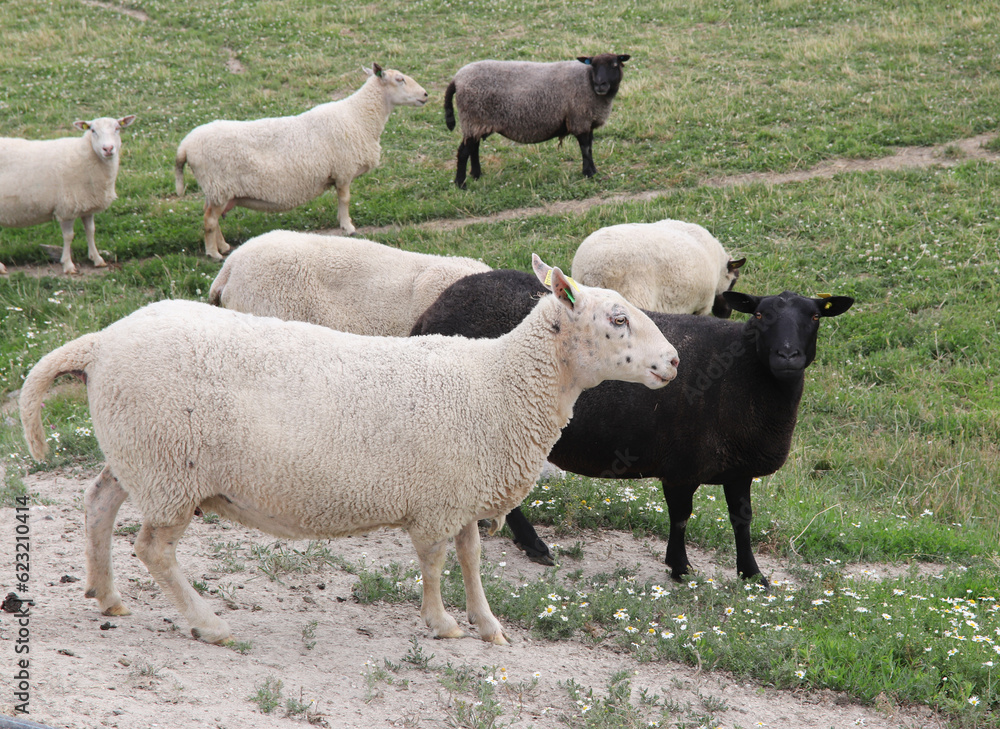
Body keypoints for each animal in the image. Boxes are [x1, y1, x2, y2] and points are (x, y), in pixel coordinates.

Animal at [0, 115, 136, 274]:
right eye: (93, 130)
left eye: (117, 128)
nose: (108, 149)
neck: (87, 155)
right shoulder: (67, 207)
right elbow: (69, 236)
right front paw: (68, 265)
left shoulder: (87, 205)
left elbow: (91, 231)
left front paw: (97, 259)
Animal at [20, 256, 679, 645]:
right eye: (618, 319)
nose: (673, 361)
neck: (498, 383)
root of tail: (102, 342)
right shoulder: (438, 501)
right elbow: (435, 563)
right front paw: (442, 623)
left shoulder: (462, 491)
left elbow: (470, 560)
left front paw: (487, 624)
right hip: (169, 466)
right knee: (153, 548)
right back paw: (208, 623)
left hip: (140, 454)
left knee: (98, 502)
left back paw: (107, 596)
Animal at [174, 63, 428, 260]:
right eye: (400, 79)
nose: (425, 94)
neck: (360, 116)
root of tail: (185, 146)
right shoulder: (344, 170)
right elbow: (345, 200)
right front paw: (348, 227)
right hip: (219, 186)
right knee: (209, 220)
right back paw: (214, 254)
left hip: (217, 190)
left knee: (212, 217)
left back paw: (224, 246)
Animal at [411, 269, 853, 579]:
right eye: (760, 314)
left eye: (815, 316)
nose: (787, 356)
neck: (744, 375)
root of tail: (432, 309)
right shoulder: (682, 465)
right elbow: (681, 516)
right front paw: (680, 568)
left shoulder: (738, 466)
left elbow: (742, 520)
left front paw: (752, 575)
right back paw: (534, 545)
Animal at [444, 54, 630, 188]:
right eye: (593, 65)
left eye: (614, 65)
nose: (600, 85)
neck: (587, 80)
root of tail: (457, 79)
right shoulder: (580, 119)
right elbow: (585, 148)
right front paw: (589, 174)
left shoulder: (586, 121)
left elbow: (589, 147)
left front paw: (593, 171)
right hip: (473, 118)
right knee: (463, 152)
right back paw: (461, 184)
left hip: (477, 122)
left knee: (473, 148)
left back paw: (476, 175)